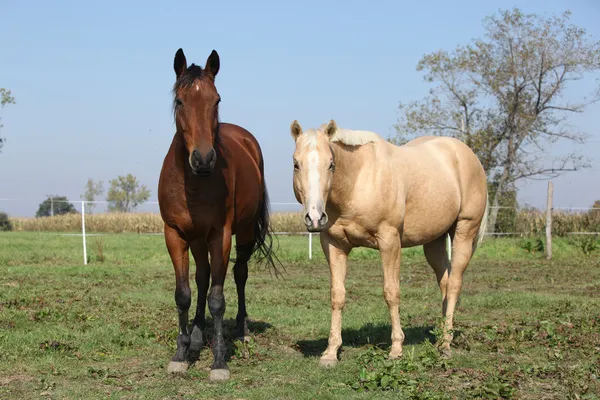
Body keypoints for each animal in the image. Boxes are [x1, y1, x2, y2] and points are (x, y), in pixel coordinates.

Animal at [156, 48, 278, 380]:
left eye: (217, 100)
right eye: (179, 101)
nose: (203, 159)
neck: (193, 182)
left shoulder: (220, 235)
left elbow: (217, 298)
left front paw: (220, 361)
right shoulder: (174, 234)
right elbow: (184, 293)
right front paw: (181, 352)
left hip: (243, 232)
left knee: (239, 274)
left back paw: (243, 329)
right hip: (197, 239)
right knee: (202, 277)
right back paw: (198, 336)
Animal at [288, 119, 490, 366]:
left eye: (331, 164)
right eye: (296, 164)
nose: (315, 218)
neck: (359, 181)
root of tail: (467, 154)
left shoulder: (389, 242)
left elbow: (391, 293)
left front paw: (396, 349)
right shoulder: (334, 245)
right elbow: (337, 295)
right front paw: (330, 352)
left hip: (464, 231)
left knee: (454, 285)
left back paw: (445, 345)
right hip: (434, 241)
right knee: (445, 283)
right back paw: (441, 337)